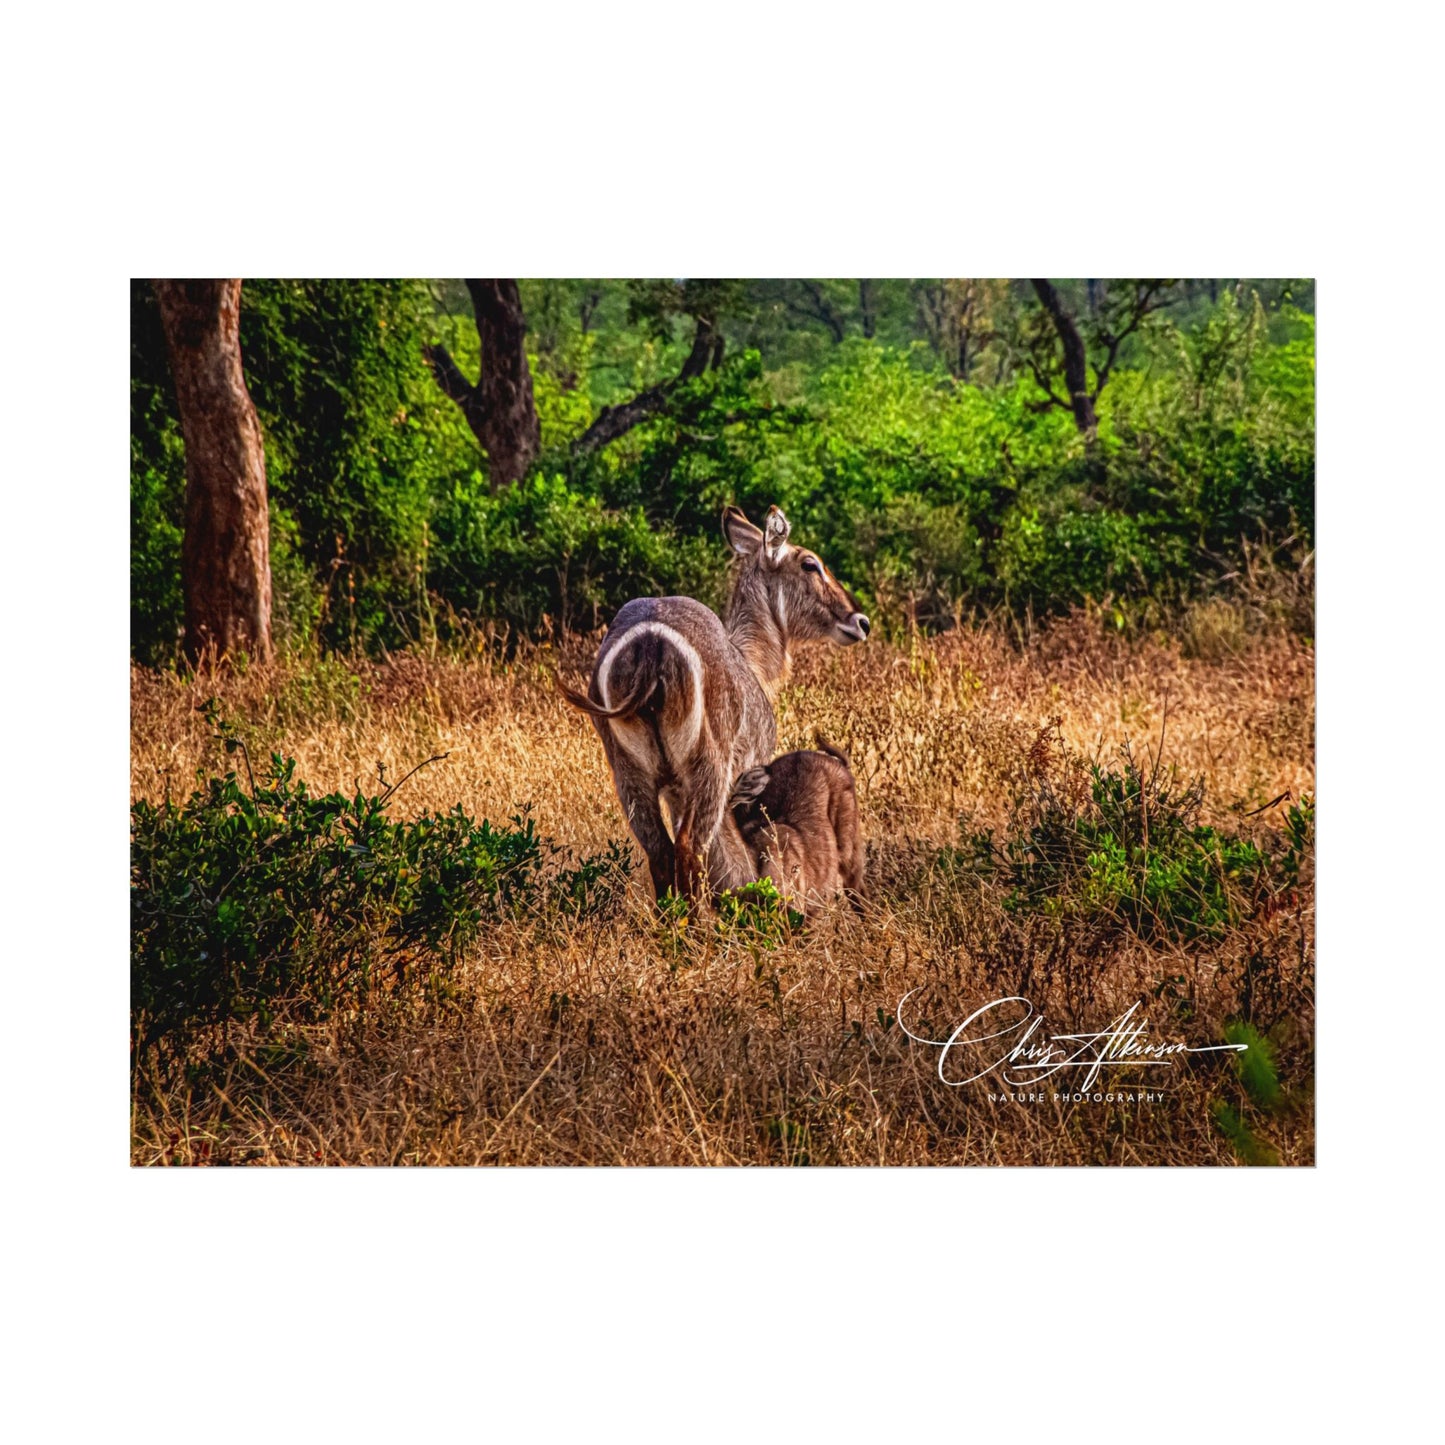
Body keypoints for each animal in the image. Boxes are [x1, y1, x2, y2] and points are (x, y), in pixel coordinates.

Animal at [557, 502, 861, 895]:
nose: (859, 621)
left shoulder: (673, 791)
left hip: (629, 773)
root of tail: (651, 641)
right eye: (810, 563)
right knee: (690, 849)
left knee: (660, 853)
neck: (751, 663)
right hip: (707, 768)